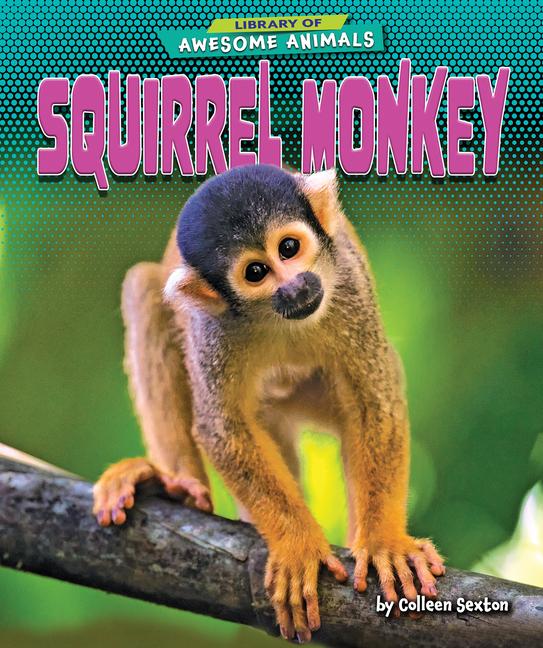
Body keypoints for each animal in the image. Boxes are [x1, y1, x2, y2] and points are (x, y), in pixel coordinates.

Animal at [93, 164, 445, 642]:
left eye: (289, 248)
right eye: (256, 271)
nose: (294, 287)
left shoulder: (349, 286)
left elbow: (374, 400)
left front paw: (384, 543)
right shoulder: (212, 329)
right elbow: (220, 427)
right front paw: (297, 545)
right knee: (143, 289)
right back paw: (175, 482)